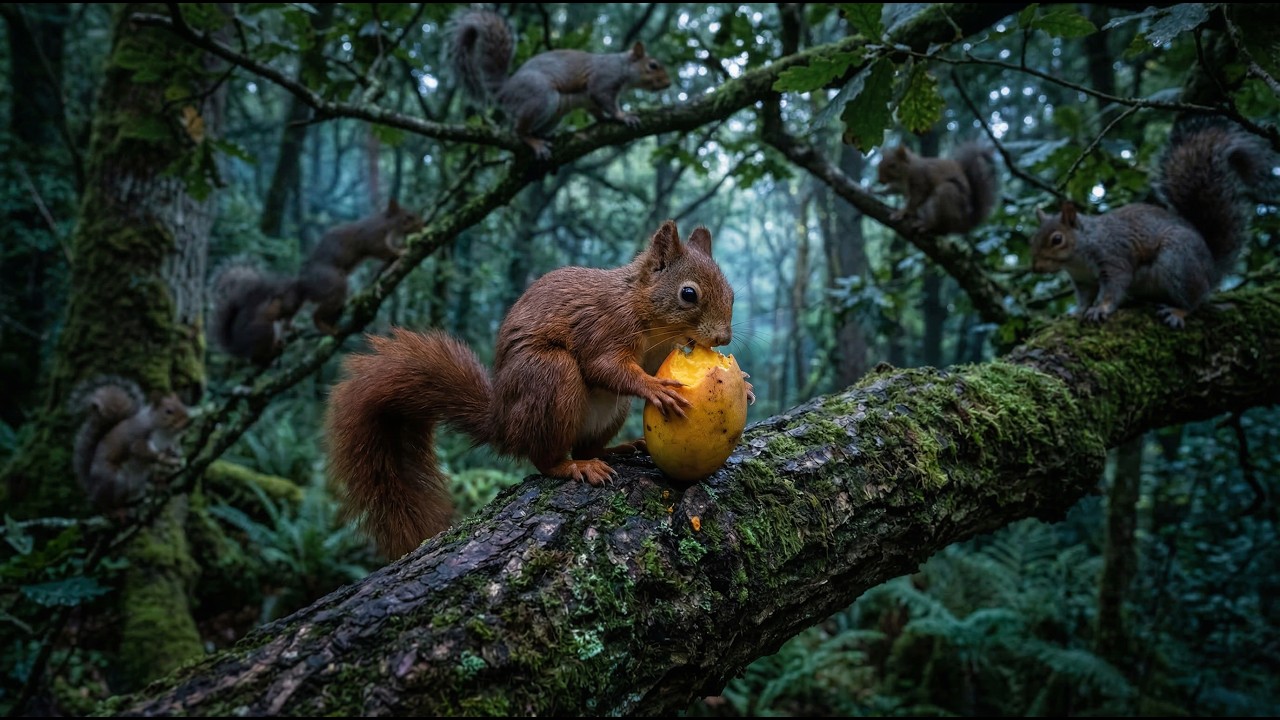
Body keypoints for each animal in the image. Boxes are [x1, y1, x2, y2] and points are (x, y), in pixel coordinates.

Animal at [70, 377, 191, 515]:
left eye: (183, 405)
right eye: (168, 411)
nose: (188, 422)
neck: (166, 434)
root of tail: (92, 488)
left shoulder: (171, 444)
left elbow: (171, 453)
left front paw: (174, 461)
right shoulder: (139, 438)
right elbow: (140, 451)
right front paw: (164, 459)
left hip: (139, 481)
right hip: (116, 481)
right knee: (106, 503)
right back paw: (116, 510)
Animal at [324, 219, 747, 559]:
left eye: (731, 292)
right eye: (688, 294)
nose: (723, 338)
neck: (648, 314)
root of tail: (504, 423)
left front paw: (745, 384)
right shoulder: (606, 327)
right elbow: (606, 367)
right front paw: (654, 387)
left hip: (606, 411)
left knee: (587, 445)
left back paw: (617, 449)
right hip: (550, 377)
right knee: (546, 458)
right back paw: (573, 467)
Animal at [448, 7, 672, 159]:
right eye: (653, 66)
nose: (669, 83)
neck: (623, 66)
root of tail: (505, 89)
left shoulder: (590, 100)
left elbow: (596, 108)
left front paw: (603, 119)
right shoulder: (603, 80)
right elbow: (604, 98)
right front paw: (623, 116)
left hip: (554, 114)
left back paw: (543, 136)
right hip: (541, 97)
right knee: (518, 131)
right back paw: (534, 142)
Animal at [1029, 117, 1276, 328]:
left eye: (1057, 239)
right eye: (1033, 238)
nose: (1036, 268)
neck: (1077, 257)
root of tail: (1211, 271)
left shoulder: (1113, 258)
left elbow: (1113, 288)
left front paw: (1100, 309)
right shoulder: (1082, 281)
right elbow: (1084, 299)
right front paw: (1076, 313)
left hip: (1178, 259)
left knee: (1194, 301)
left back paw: (1177, 311)